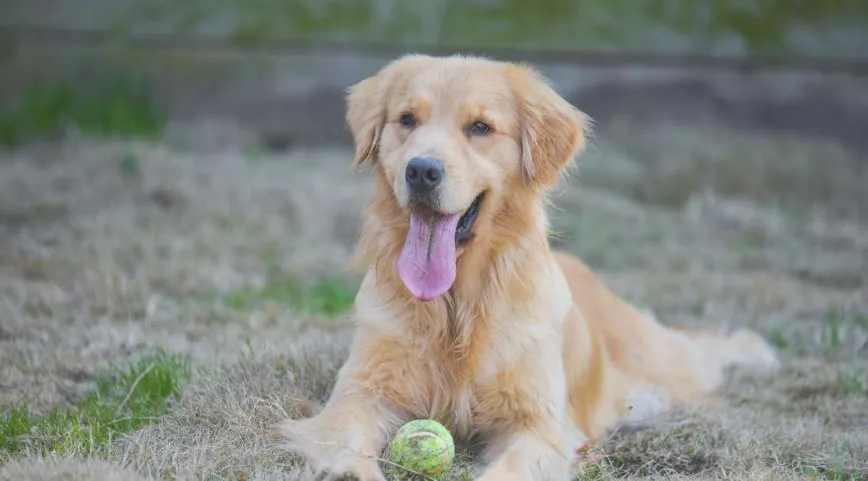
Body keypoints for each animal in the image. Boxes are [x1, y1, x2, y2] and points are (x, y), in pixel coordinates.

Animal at [278, 53, 780, 480]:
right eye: (407, 120)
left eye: (480, 127)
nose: (421, 170)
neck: (458, 306)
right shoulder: (360, 394)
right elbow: (343, 436)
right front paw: (348, 469)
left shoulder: (539, 423)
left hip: (662, 366)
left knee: (704, 353)